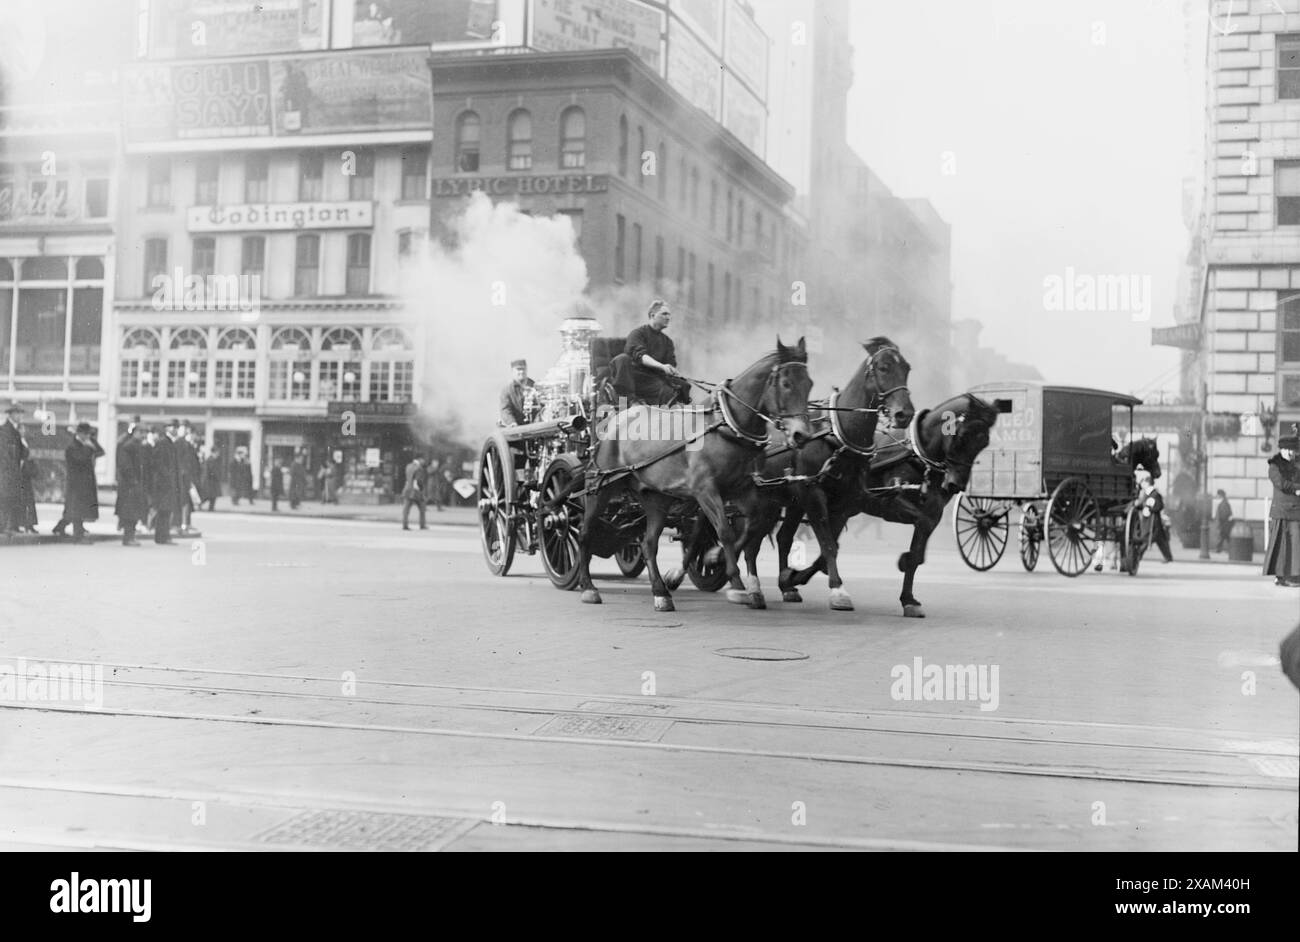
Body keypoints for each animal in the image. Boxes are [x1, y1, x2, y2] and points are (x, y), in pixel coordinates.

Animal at [579, 337, 811, 610]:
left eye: (809, 383)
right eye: (786, 384)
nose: (801, 435)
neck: (725, 425)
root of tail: (614, 418)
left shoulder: (741, 488)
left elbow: (753, 524)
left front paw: (716, 558)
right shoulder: (705, 490)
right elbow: (725, 531)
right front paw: (736, 582)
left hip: (655, 496)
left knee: (648, 543)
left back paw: (660, 592)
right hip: (601, 486)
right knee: (585, 533)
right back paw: (588, 586)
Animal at [728, 337, 920, 610]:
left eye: (906, 368)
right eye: (883, 368)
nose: (904, 414)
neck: (839, 437)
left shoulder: (844, 501)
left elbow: (831, 545)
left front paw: (794, 577)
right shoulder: (814, 495)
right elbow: (828, 545)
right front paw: (838, 590)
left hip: (787, 502)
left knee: (780, 537)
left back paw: (784, 585)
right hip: (761, 501)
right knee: (749, 542)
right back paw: (751, 586)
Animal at [774, 392, 1008, 618]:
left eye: (984, 442)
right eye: (962, 436)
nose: (954, 484)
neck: (919, 456)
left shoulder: (933, 513)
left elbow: (916, 554)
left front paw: (908, 599)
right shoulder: (888, 503)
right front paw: (795, 577)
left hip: (820, 503)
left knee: (789, 537)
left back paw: (789, 585)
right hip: (808, 496)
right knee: (790, 536)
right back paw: (788, 582)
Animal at [951, 379, 1164, 574]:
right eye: (1155, 454)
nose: (1158, 473)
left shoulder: (1102, 508)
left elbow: (1104, 532)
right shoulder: (1112, 506)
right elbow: (1116, 531)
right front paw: (1119, 558)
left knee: (990, 520)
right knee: (1075, 527)